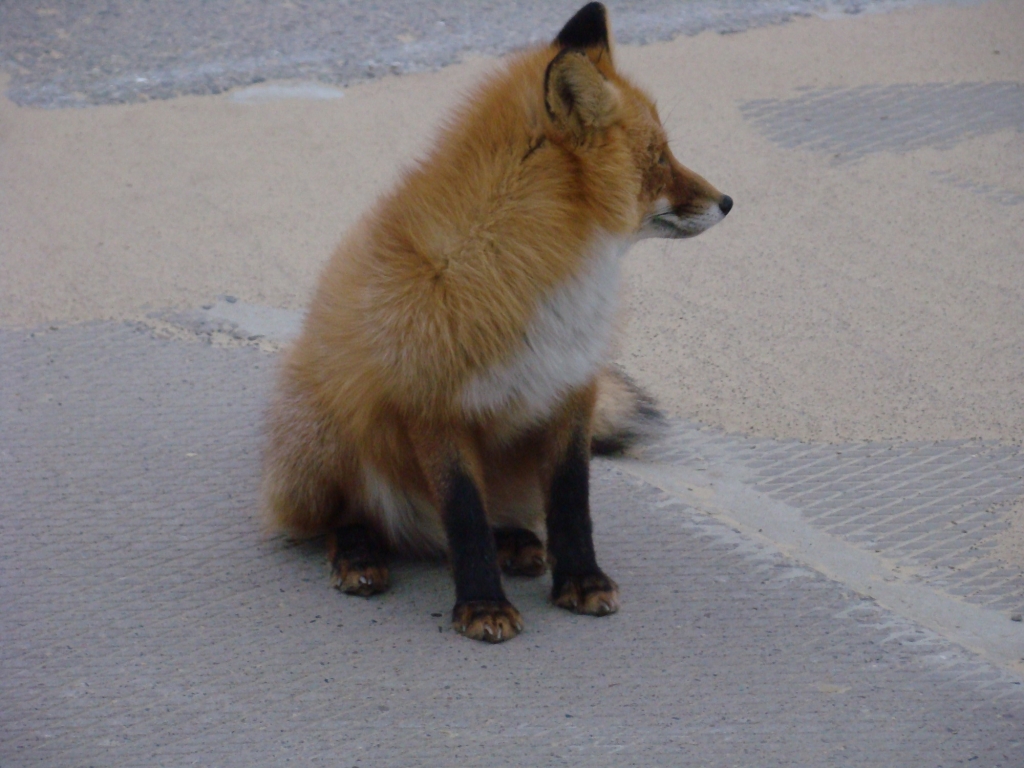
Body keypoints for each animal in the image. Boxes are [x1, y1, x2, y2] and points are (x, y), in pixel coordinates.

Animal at [262, 2, 732, 643]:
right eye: (659, 156)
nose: (728, 201)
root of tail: (411, 530)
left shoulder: (571, 387)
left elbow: (572, 501)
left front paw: (580, 579)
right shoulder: (431, 403)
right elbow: (464, 514)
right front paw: (482, 604)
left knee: (489, 519)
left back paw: (514, 542)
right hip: (322, 435)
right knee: (350, 518)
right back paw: (360, 554)